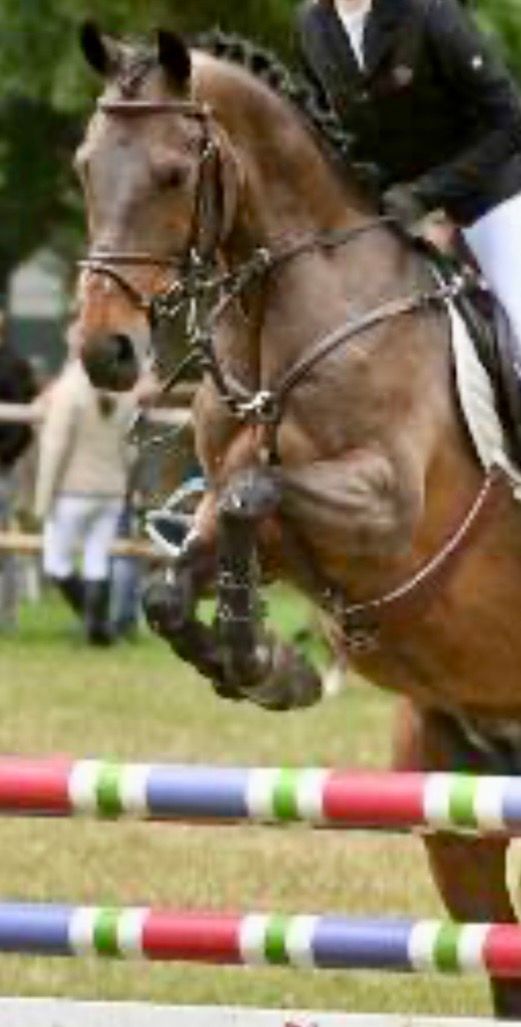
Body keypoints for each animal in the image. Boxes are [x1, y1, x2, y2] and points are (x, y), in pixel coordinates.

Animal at [75, 22, 521, 1016]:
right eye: (84, 167)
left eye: (172, 173)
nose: (102, 349)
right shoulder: (248, 513)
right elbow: (187, 566)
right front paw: (268, 665)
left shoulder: (386, 509)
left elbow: (256, 495)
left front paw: (254, 651)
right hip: (457, 803)